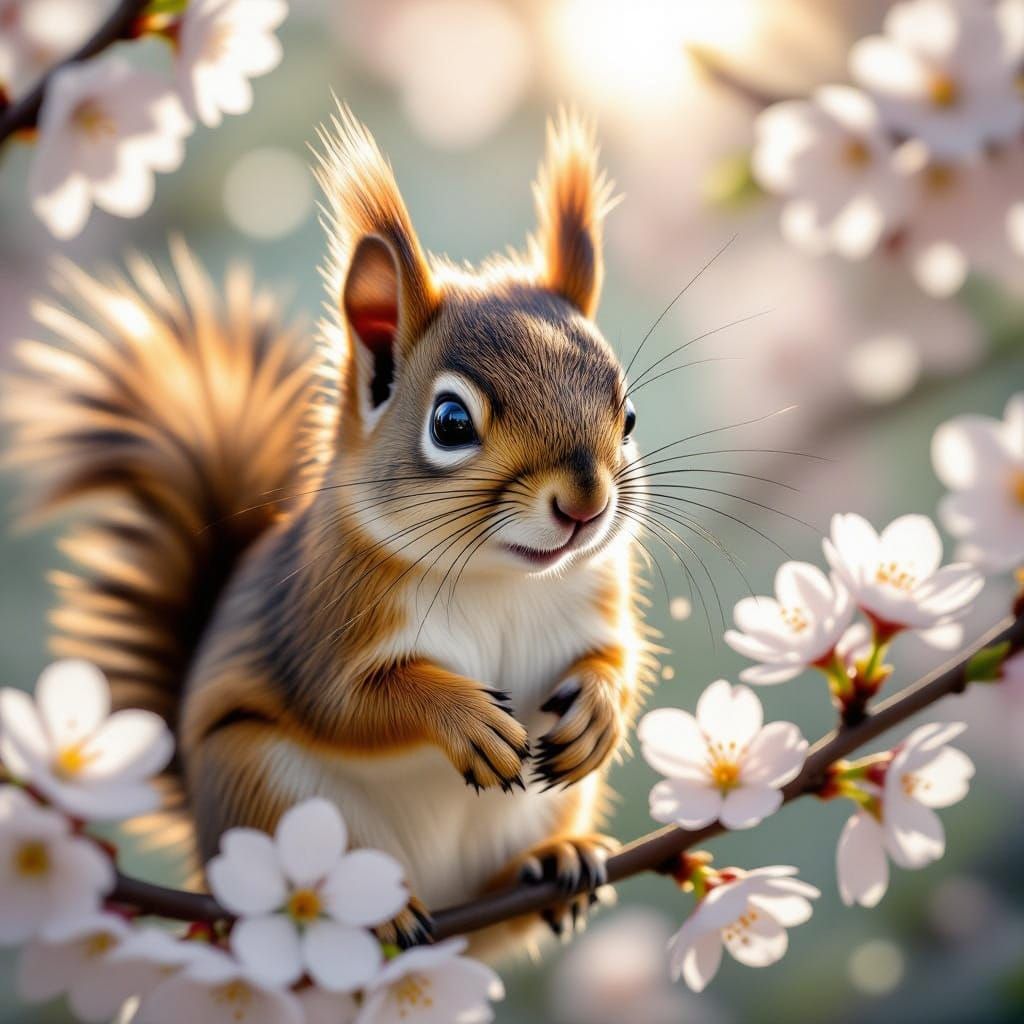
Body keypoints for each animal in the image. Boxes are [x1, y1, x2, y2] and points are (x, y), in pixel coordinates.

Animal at [3, 107, 657, 958]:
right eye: (451, 423)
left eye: (629, 415)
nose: (584, 505)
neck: (498, 577)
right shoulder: (317, 620)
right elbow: (349, 702)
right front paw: (466, 719)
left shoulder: (597, 600)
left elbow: (618, 659)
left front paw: (601, 712)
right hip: (260, 782)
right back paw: (367, 912)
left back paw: (555, 861)